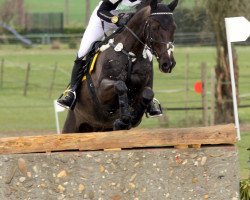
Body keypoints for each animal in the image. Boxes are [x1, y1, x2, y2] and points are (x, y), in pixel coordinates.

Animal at [63, 0, 179, 134]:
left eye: (174, 28)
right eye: (155, 27)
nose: (168, 63)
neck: (131, 54)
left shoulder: (143, 86)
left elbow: (148, 94)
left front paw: (130, 119)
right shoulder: (101, 91)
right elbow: (120, 85)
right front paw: (124, 119)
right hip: (72, 126)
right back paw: (68, 98)